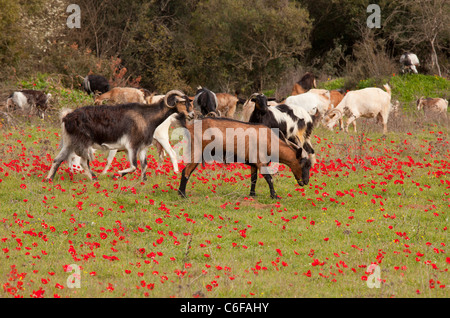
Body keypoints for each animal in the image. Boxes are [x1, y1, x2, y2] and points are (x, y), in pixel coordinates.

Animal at [46, 90, 194, 183]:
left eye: (190, 102)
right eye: (182, 102)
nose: (191, 115)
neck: (146, 116)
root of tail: (67, 117)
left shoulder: (143, 147)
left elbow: (144, 165)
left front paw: (144, 180)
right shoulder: (132, 146)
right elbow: (134, 166)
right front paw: (116, 175)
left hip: (69, 142)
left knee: (57, 159)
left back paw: (49, 179)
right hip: (83, 142)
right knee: (83, 162)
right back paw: (94, 178)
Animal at [178, 117, 312, 199]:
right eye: (303, 164)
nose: (305, 182)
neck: (269, 141)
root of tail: (190, 127)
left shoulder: (254, 164)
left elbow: (254, 179)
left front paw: (252, 195)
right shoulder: (261, 162)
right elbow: (269, 179)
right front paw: (274, 196)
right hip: (196, 151)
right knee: (186, 171)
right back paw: (183, 195)